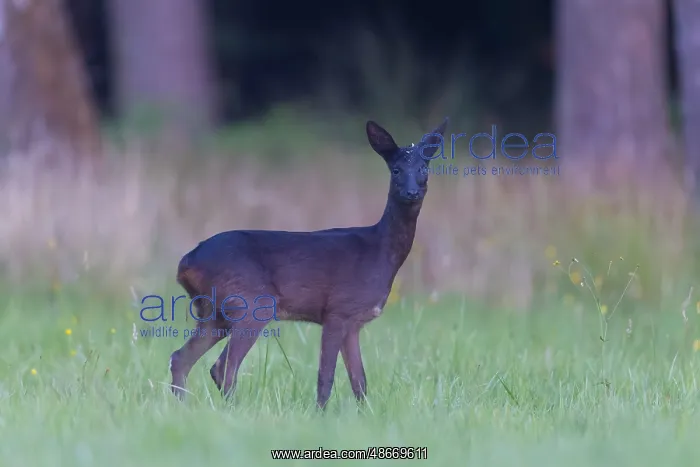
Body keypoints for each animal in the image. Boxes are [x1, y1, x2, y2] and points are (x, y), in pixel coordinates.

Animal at [169, 117, 449, 409]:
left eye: (424, 169)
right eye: (395, 170)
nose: (412, 192)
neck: (380, 253)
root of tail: (186, 262)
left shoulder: (354, 321)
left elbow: (359, 380)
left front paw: (365, 413)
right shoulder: (338, 310)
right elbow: (326, 375)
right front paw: (320, 413)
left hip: (215, 312)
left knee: (180, 358)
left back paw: (183, 406)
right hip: (251, 303)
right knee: (223, 366)